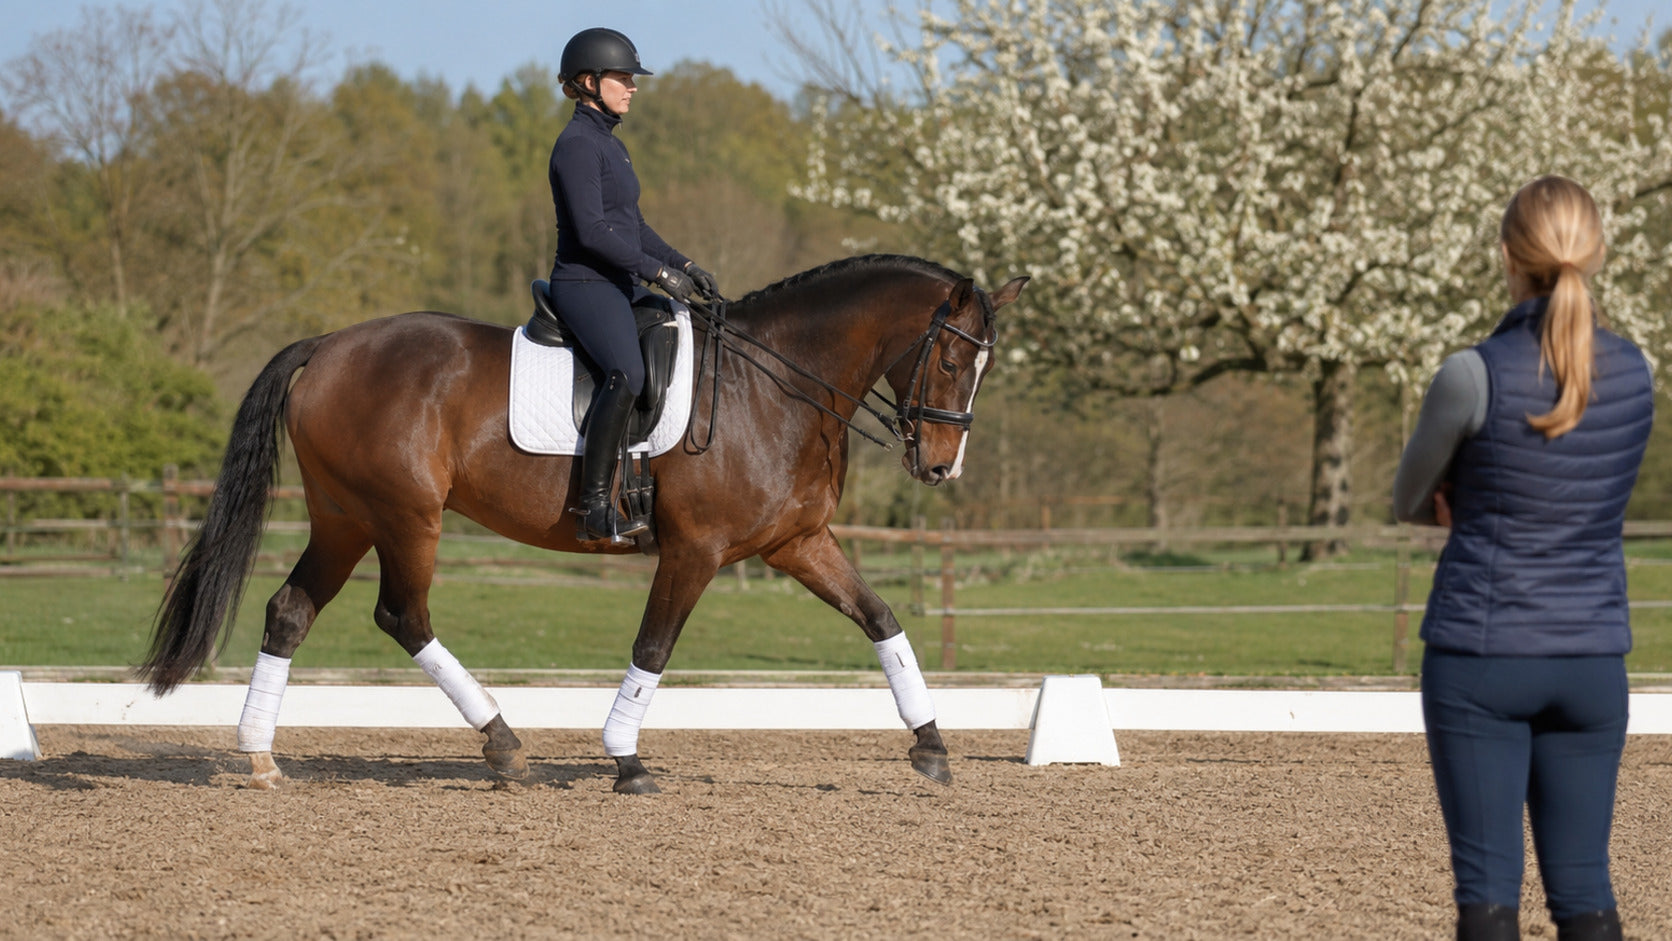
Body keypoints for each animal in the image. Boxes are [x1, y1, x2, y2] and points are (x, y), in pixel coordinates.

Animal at [139, 253, 1028, 793]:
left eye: (984, 365)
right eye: (953, 358)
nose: (940, 466)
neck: (777, 386)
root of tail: (328, 346)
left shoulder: (796, 543)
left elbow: (881, 619)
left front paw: (932, 744)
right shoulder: (697, 550)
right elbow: (653, 648)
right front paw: (626, 758)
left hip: (344, 517)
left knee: (291, 610)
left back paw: (261, 755)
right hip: (404, 515)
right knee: (404, 615)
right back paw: (501, 742)